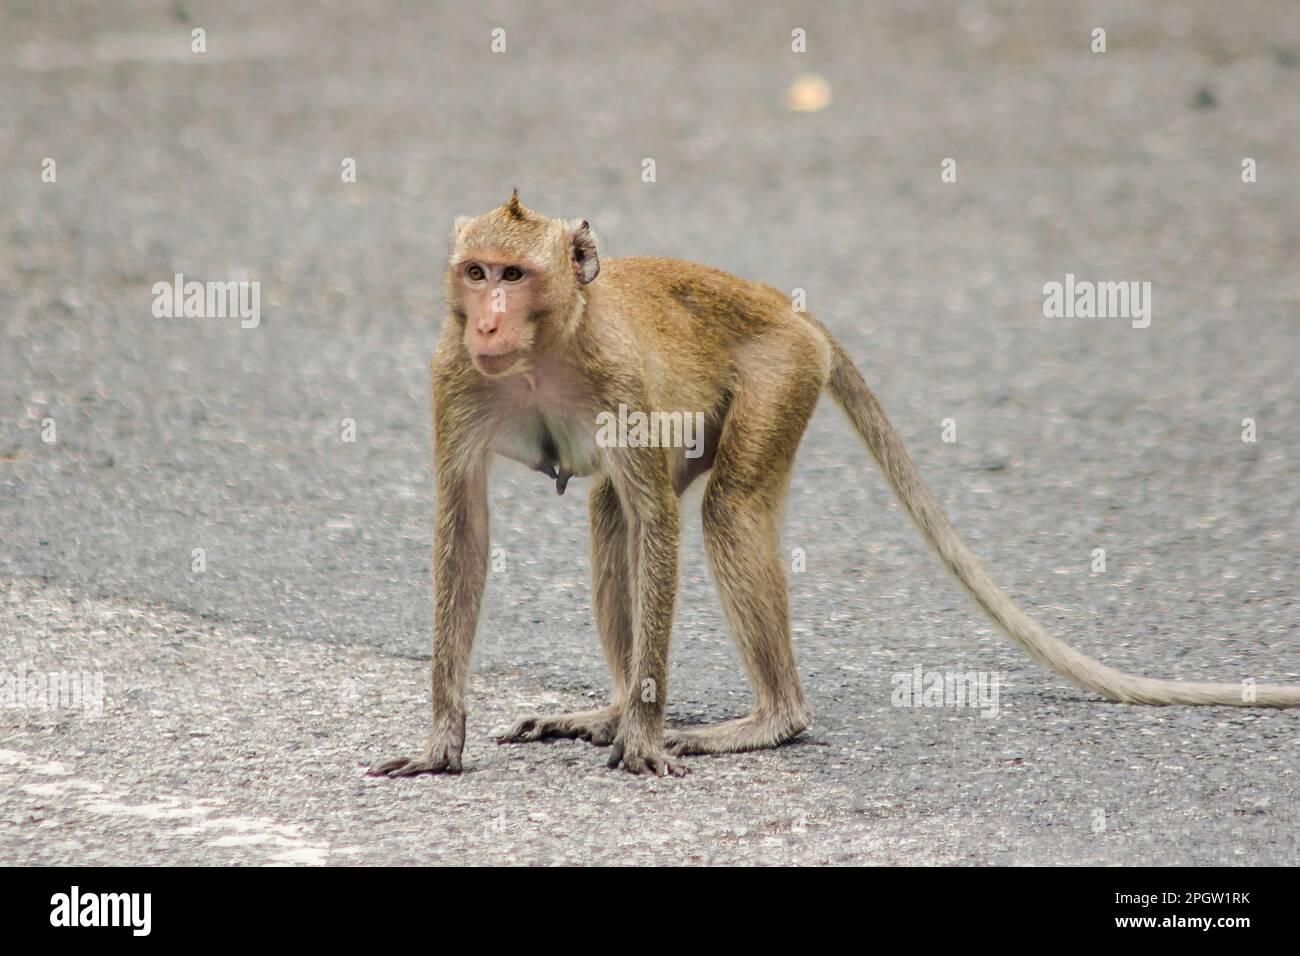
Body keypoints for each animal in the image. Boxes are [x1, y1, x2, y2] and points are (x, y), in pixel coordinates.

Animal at [370, 191, 1300, 779]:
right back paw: (609, 707)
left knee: (723, 510)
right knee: (613, 515)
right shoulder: (453, 379)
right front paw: (443, 742)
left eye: (515, 276)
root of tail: (785, 305)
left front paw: (644, 734)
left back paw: (767, 718)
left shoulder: (620, 378)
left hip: (783, 371)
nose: (489, 321)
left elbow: (658, 521)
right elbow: (465, 528)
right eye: (476, 272)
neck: (543, 352)